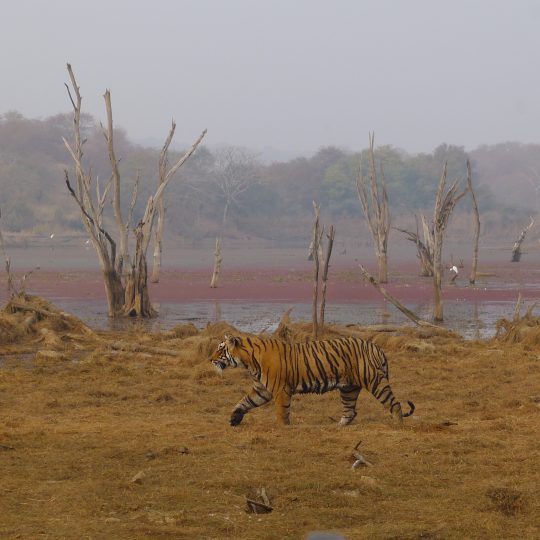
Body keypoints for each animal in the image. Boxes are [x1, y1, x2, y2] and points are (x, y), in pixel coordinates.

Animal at [209, 334, 416, 426]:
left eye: (220, 349)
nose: (210, 359)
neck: (249, 362)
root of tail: (377, 347)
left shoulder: (280, 390)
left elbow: (282, 411)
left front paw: (282, 428)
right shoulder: (262, 390)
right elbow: (244, 401)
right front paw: (234, 418)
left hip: (375, 382)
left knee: (395, 404)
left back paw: (398, 424)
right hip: (349, 388)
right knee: (350, 411)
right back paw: (338, 426)